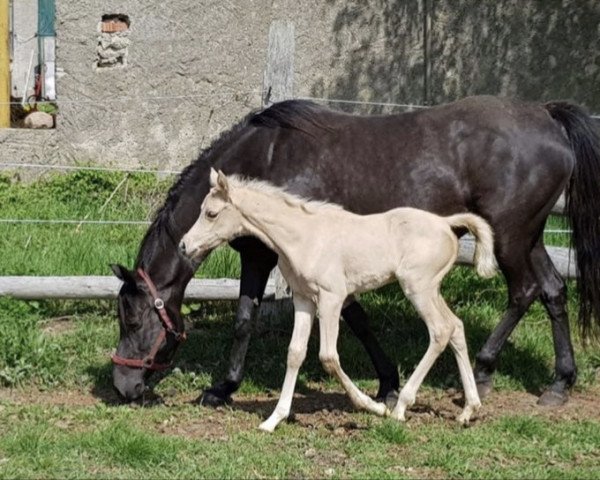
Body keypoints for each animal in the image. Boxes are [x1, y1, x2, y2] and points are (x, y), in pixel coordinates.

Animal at [179, 169, 496, 432]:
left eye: (211, 213)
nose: (184, 245)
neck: (303, 237)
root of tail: (446, 223)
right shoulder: (304, 299)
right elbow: (295, 353)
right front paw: (273, 420)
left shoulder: (331, 298)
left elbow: (328, 357)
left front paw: (374, 406)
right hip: (430, 289)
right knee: (455, 327)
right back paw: (468, 410)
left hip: (418, 287)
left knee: (440, 330)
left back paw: (400, 407)